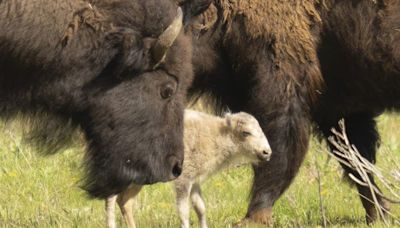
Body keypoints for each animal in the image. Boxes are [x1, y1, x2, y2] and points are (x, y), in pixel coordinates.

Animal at [104, 108, 272, 228]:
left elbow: (200, 208)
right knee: (111, 199)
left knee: (125, 202)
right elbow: (184, 211)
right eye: (246, 132)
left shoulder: (194, 181)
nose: (267, 152)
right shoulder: (183, 181)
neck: (216, 135)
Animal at [184, 0, 400, 224]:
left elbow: (279, 152)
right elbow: (356, 162)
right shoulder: (337, 107)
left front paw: (254, 218)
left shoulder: (282, 90)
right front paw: (378, 216)